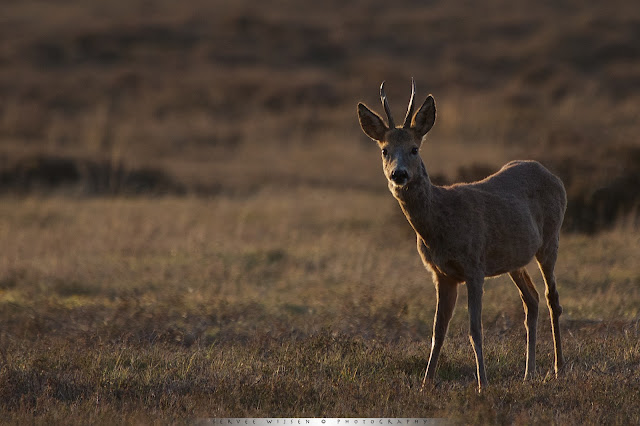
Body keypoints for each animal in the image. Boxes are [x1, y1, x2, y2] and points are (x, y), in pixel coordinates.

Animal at [358, 80, 568, 392]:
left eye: (414, 148)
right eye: (385, 150)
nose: (399, 174)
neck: (439, 225)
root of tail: (554, 176)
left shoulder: (474, 266)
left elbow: (474, 329)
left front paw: (483, 383)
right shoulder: (441, 274)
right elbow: (438, 331)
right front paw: (426, 384)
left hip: (550, 241)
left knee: (552, 297)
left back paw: (558, 369)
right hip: (514, 259)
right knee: (531, 299)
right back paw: (528, 373)